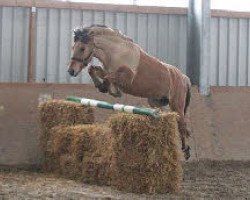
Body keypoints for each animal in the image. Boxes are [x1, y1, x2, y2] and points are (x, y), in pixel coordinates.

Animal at [67, 24, 191, 159]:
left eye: (82, 48)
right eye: (73, 47)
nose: (71, 71)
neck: (116, 52)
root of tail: (184, 77)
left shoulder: (126, 78)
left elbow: (108, 78)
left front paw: (107, 88)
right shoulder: (108, 71)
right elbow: (93, 69)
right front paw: (102, 86)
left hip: (176, 105)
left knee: (182, 126)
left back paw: (186, 151)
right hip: (156, 102)